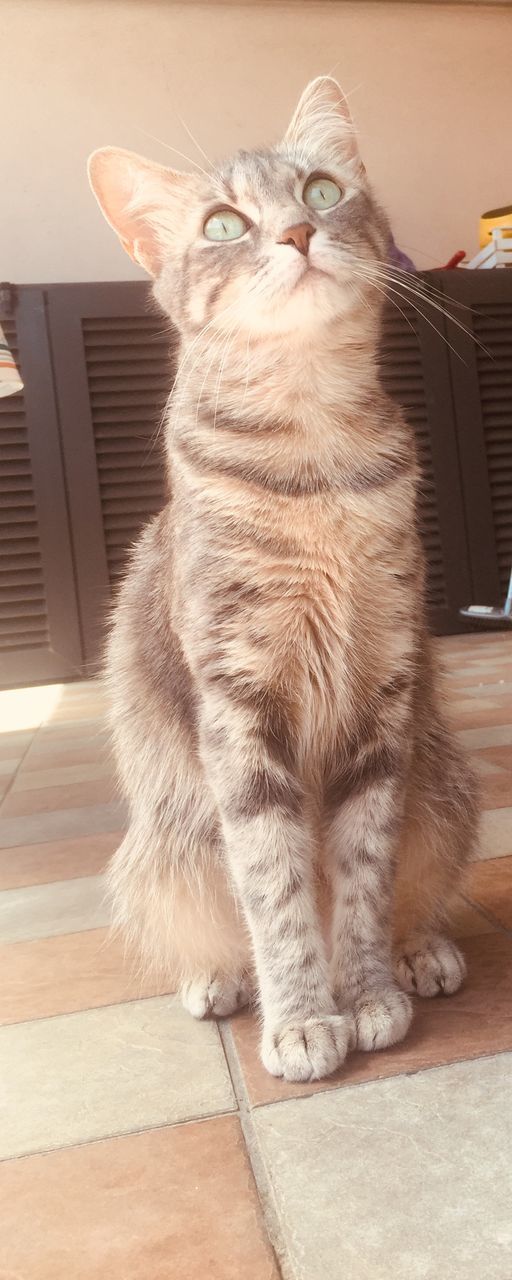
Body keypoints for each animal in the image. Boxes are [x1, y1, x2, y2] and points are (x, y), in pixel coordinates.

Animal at [88, 77, 476, 1080]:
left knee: (417, 893)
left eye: (321, 191)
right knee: (208, 926)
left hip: (444, 790)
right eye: (223, 224)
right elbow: (273, 883)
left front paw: (367, 991)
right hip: (166, 847)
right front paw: (304, 1016)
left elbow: (364, 875)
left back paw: (423, 954)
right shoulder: (239, 700)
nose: (298, 233)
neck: (315, 459)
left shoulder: (383, 694)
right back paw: (220, 982)